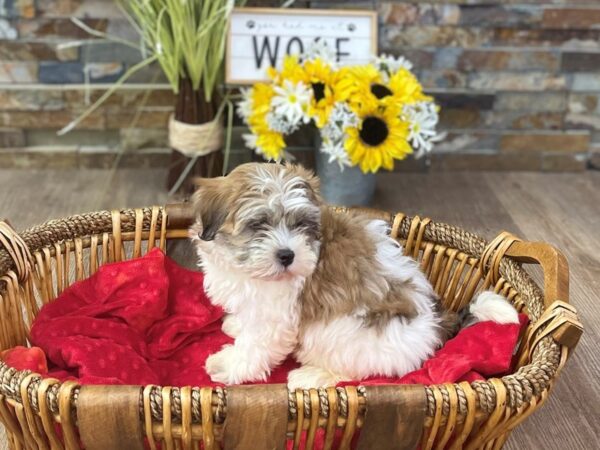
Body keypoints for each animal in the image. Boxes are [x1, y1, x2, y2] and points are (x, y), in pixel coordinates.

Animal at [190, 162, 516, 386]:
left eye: (301, 225)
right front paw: (236, 325)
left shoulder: (277, 314)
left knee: (351, 369)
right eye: (258, 224)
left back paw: (313, 377)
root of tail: (435, 324)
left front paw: (230, 365)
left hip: (340, 333)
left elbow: (257, 345)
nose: (287, 255)